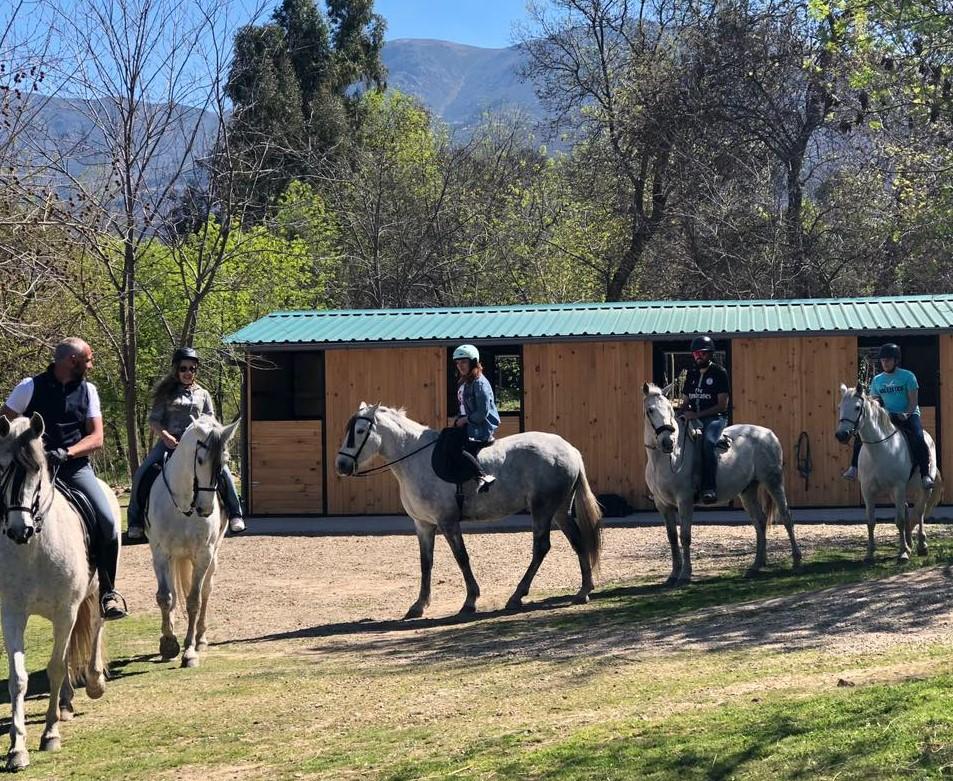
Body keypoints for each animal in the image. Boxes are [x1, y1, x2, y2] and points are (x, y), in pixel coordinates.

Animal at [0, 414, 112, 768]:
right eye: (1, 466)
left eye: (37, 469)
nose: (18, 529)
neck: (34, 547)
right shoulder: (13, 614)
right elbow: (19, 677)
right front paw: (17, 749)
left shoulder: (66, 610)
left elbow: (56, 667)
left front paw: (49, 735)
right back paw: (65, 704)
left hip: (92, 594)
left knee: (96, 627)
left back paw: (94, 682)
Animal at [148, 414, 242, 664]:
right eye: (199, 460)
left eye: (225, 461)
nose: (206, 508)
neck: (183, 504)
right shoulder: (160, 553)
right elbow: (165, 597)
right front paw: (168, 642)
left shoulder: (203, 554)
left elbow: (194, 600)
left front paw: (189, 650)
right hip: (172, 558)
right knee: (171, 591)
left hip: (212, 556)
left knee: (207, 590)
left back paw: (201, 638)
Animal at [336, 402, 604, 616]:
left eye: (360, 431)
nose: (341, 465)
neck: (415, 459)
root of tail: (569, 449)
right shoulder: (423, 525)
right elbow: (425, 563)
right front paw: (419, 605)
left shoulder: (448, 522)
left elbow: (461, 557)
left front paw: (470, 601)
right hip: (558, 510)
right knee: (577, 541)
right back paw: (583, 591)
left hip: (542, 509)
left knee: (541, 547)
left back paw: (517, 595)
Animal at [640, 380, 804, 580]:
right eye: (650, 410)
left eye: (671, 409)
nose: (667, 442)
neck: (668, 459)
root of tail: (768, 433)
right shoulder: (662, 505)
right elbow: (671, 537)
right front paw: (673, 574)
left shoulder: (684, 500)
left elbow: (685, 536)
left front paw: (685, 574)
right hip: (748, 490)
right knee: (759, 521)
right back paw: (756, 565)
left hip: (773, 482)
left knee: (786, 517)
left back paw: (796, 561)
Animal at [828, 384, 940, 560]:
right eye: (840, 407)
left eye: (857, 407)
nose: (841, 435)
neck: (880, 449)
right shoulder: (868, 490)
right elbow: (870, 521)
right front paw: (870, 553)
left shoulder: (898, 486)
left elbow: (899, 520)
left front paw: (903, 554)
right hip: (895, 493)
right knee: (907, 508)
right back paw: (909, 544)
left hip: (922, 488)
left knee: (920, 511)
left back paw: (921, 545)